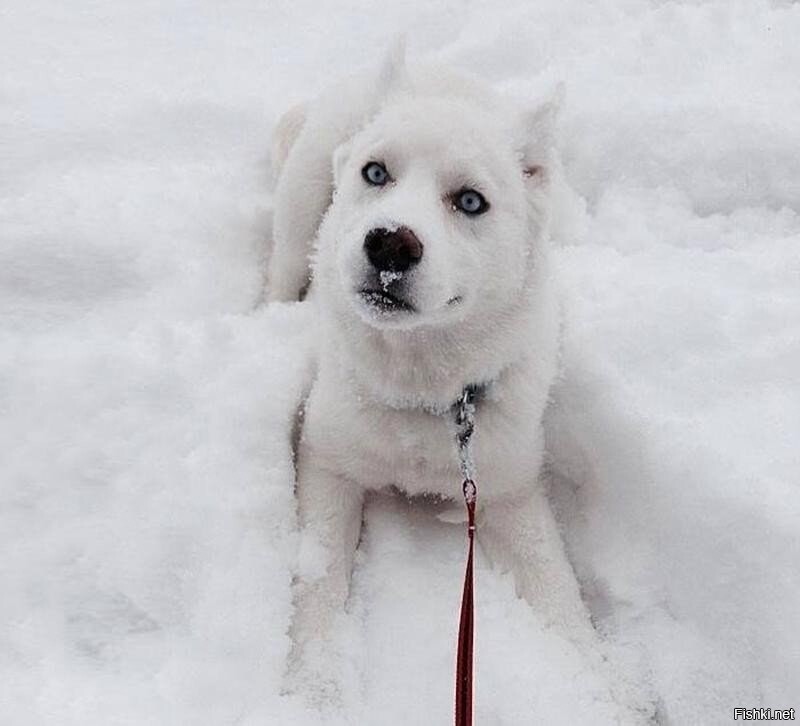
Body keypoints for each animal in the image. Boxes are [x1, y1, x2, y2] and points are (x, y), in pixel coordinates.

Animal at [268, 47, 592, 704]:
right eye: (376, 173)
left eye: (470, 202)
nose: (391, 244)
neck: (421, 390)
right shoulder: (327, 463)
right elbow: (318, 580)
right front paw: (315, 688)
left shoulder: (510, 489)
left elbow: (560, 595)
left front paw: (612, 689)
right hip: (301, 202)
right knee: (278, 271)